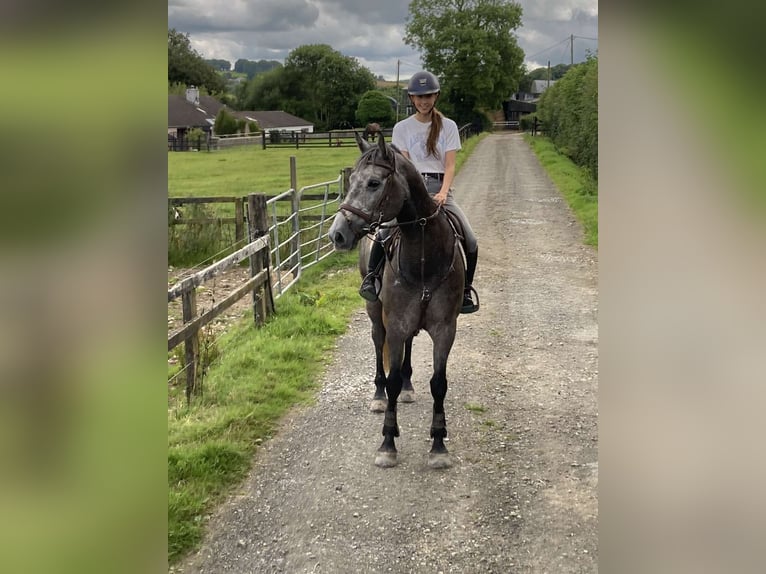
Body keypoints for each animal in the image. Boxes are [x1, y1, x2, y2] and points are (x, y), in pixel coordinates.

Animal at [328, 135, 464, 472]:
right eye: (351, 180)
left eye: (374, 183)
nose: (337, 234)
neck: (424, 256)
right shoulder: (397, 325)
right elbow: (390, 379)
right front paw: (388, 443)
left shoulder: (445, 329)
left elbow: (439, 383)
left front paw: (438, 445)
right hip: (376, 314)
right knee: (379, 346)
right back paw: (379, 396)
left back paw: (408, 386)